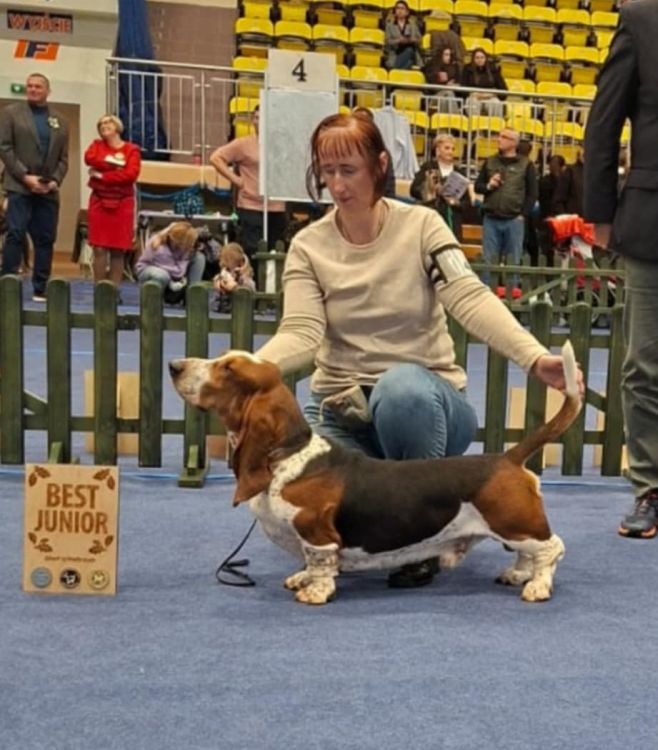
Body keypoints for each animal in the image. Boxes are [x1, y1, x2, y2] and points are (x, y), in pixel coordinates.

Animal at [169, 344, 581, 605]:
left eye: (228, 369)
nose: (174, 365)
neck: (290, 456)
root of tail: (508, 458)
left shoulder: (317, 534)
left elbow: (321, 564)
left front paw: (314, 592)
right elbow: (310, 564)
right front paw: (302, 578)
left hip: (513, 522)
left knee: (553, 547)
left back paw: (537, 587)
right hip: (513, 528)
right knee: (529, 553)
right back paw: (519, 574)